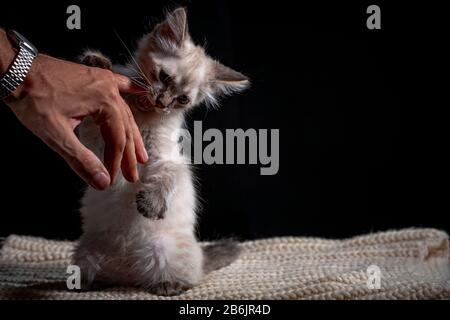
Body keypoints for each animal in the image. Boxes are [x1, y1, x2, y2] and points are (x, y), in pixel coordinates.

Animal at [74, 7, 250, 296]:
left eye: (182, 99)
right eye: (164, 77)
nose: (162, 102)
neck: (143, 114)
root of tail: (127, 277)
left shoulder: (167, 158)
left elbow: (168, 175)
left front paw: (150, 204)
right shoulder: (96, 143)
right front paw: (98, 65)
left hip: (164, 250)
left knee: (188, 277)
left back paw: (168, 286)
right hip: (85, 254)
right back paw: (92, 283)